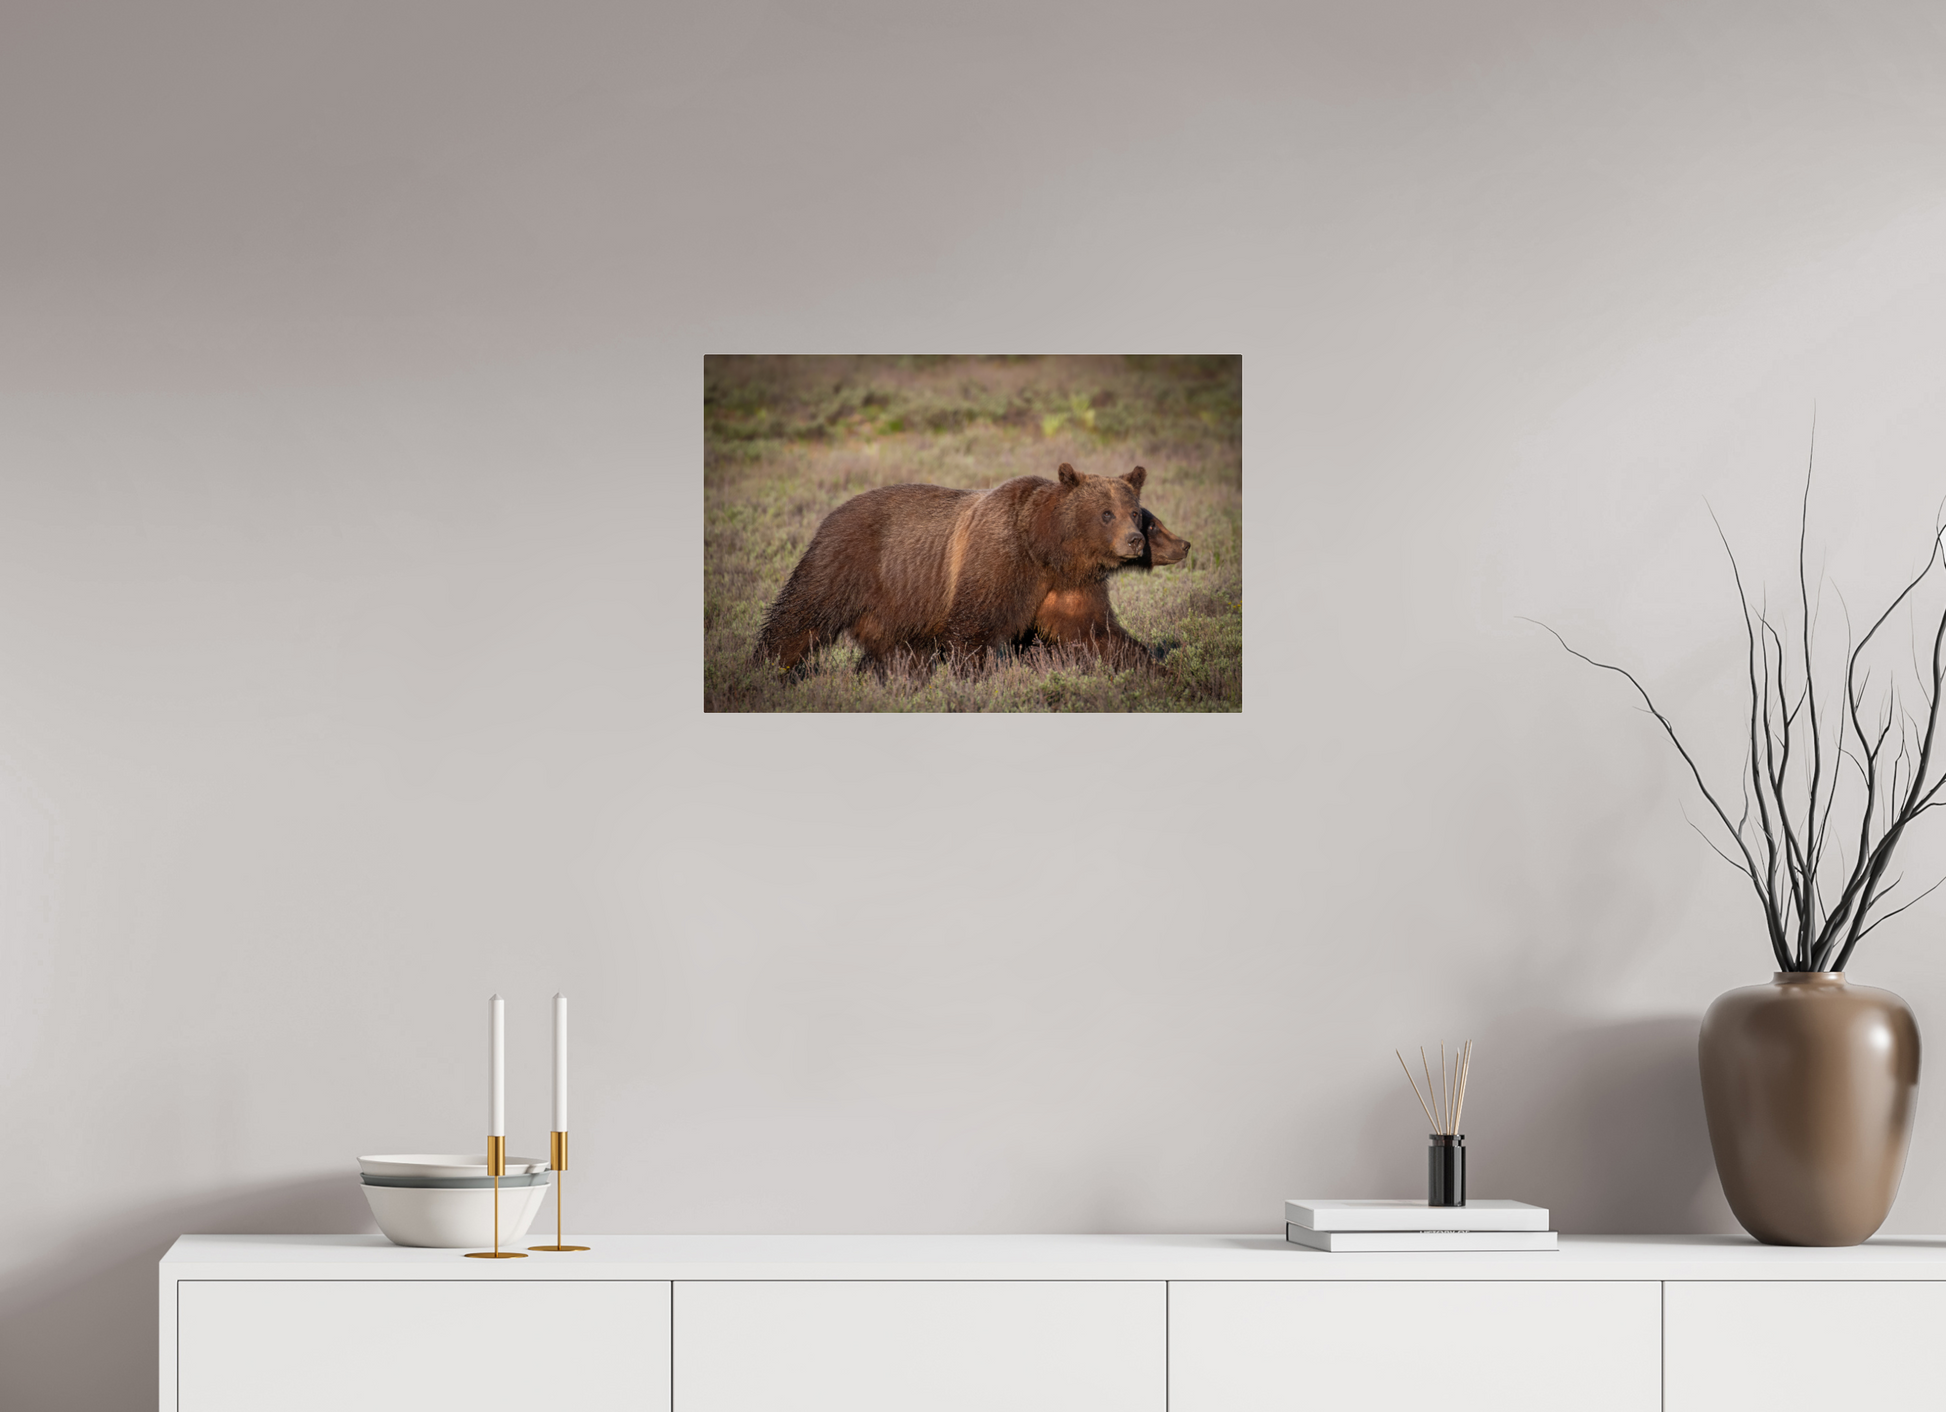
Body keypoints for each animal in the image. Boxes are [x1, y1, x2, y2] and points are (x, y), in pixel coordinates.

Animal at [755, 463, 1156, 673]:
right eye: (1106, 513)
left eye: (1135, 512)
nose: (1134, 540)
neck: (1046, 548)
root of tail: (832, 512)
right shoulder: (998, 561)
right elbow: (972, 630)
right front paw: (974, 675)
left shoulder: (1069, 585)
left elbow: (1096, 633)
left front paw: (1150, 664)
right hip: (847, 561)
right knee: (802, 615)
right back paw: (770, 667)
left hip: (895, 603)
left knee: (898, 649)